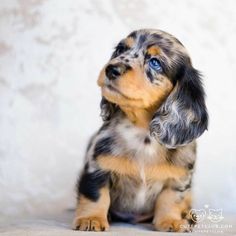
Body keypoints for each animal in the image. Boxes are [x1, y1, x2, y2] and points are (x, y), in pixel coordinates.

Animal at [73, 28, 207, 232]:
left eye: (155, 62)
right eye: (121, 49)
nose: (111, 69)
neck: (143, 133)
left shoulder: (178, 178)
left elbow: (171, 200)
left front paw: (171, 221)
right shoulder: (97, 167)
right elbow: (95, 195)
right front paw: (91, 218)